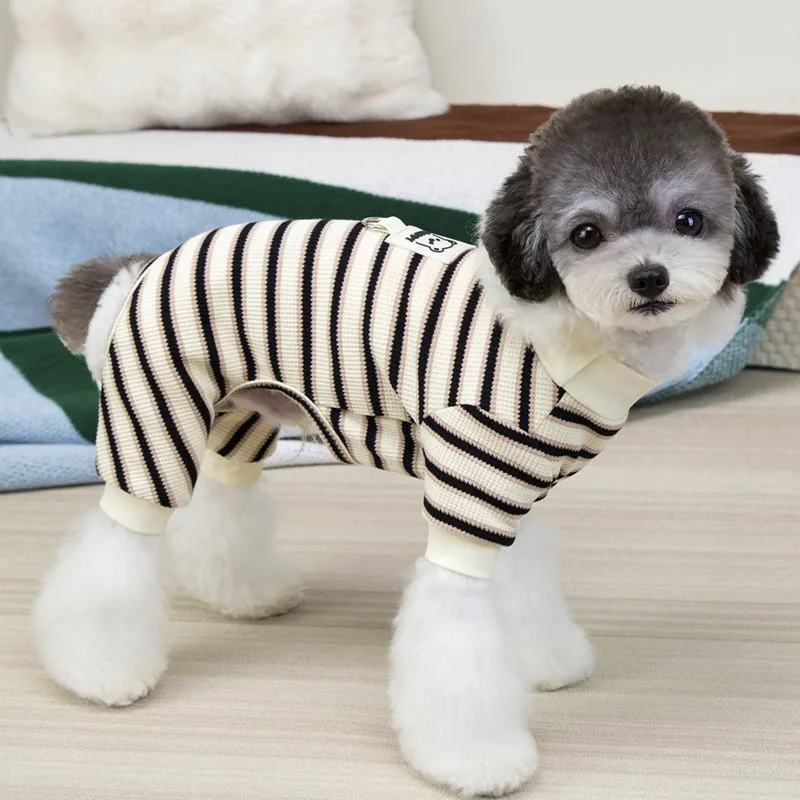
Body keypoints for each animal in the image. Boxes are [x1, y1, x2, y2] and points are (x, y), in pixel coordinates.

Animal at [35, 86, 778, 796]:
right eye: (588, 233)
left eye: (689, 220)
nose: (649, 277)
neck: (559, 339)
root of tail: (141, 270)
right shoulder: (468, 495)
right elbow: (455, 648)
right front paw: (476, 759)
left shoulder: (508, 492)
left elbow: (525, 586)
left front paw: (544, 660)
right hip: (155, 416)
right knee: (117, 544)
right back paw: (98, 669)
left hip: (237, 419)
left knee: (222, 503)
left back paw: (244, 592)